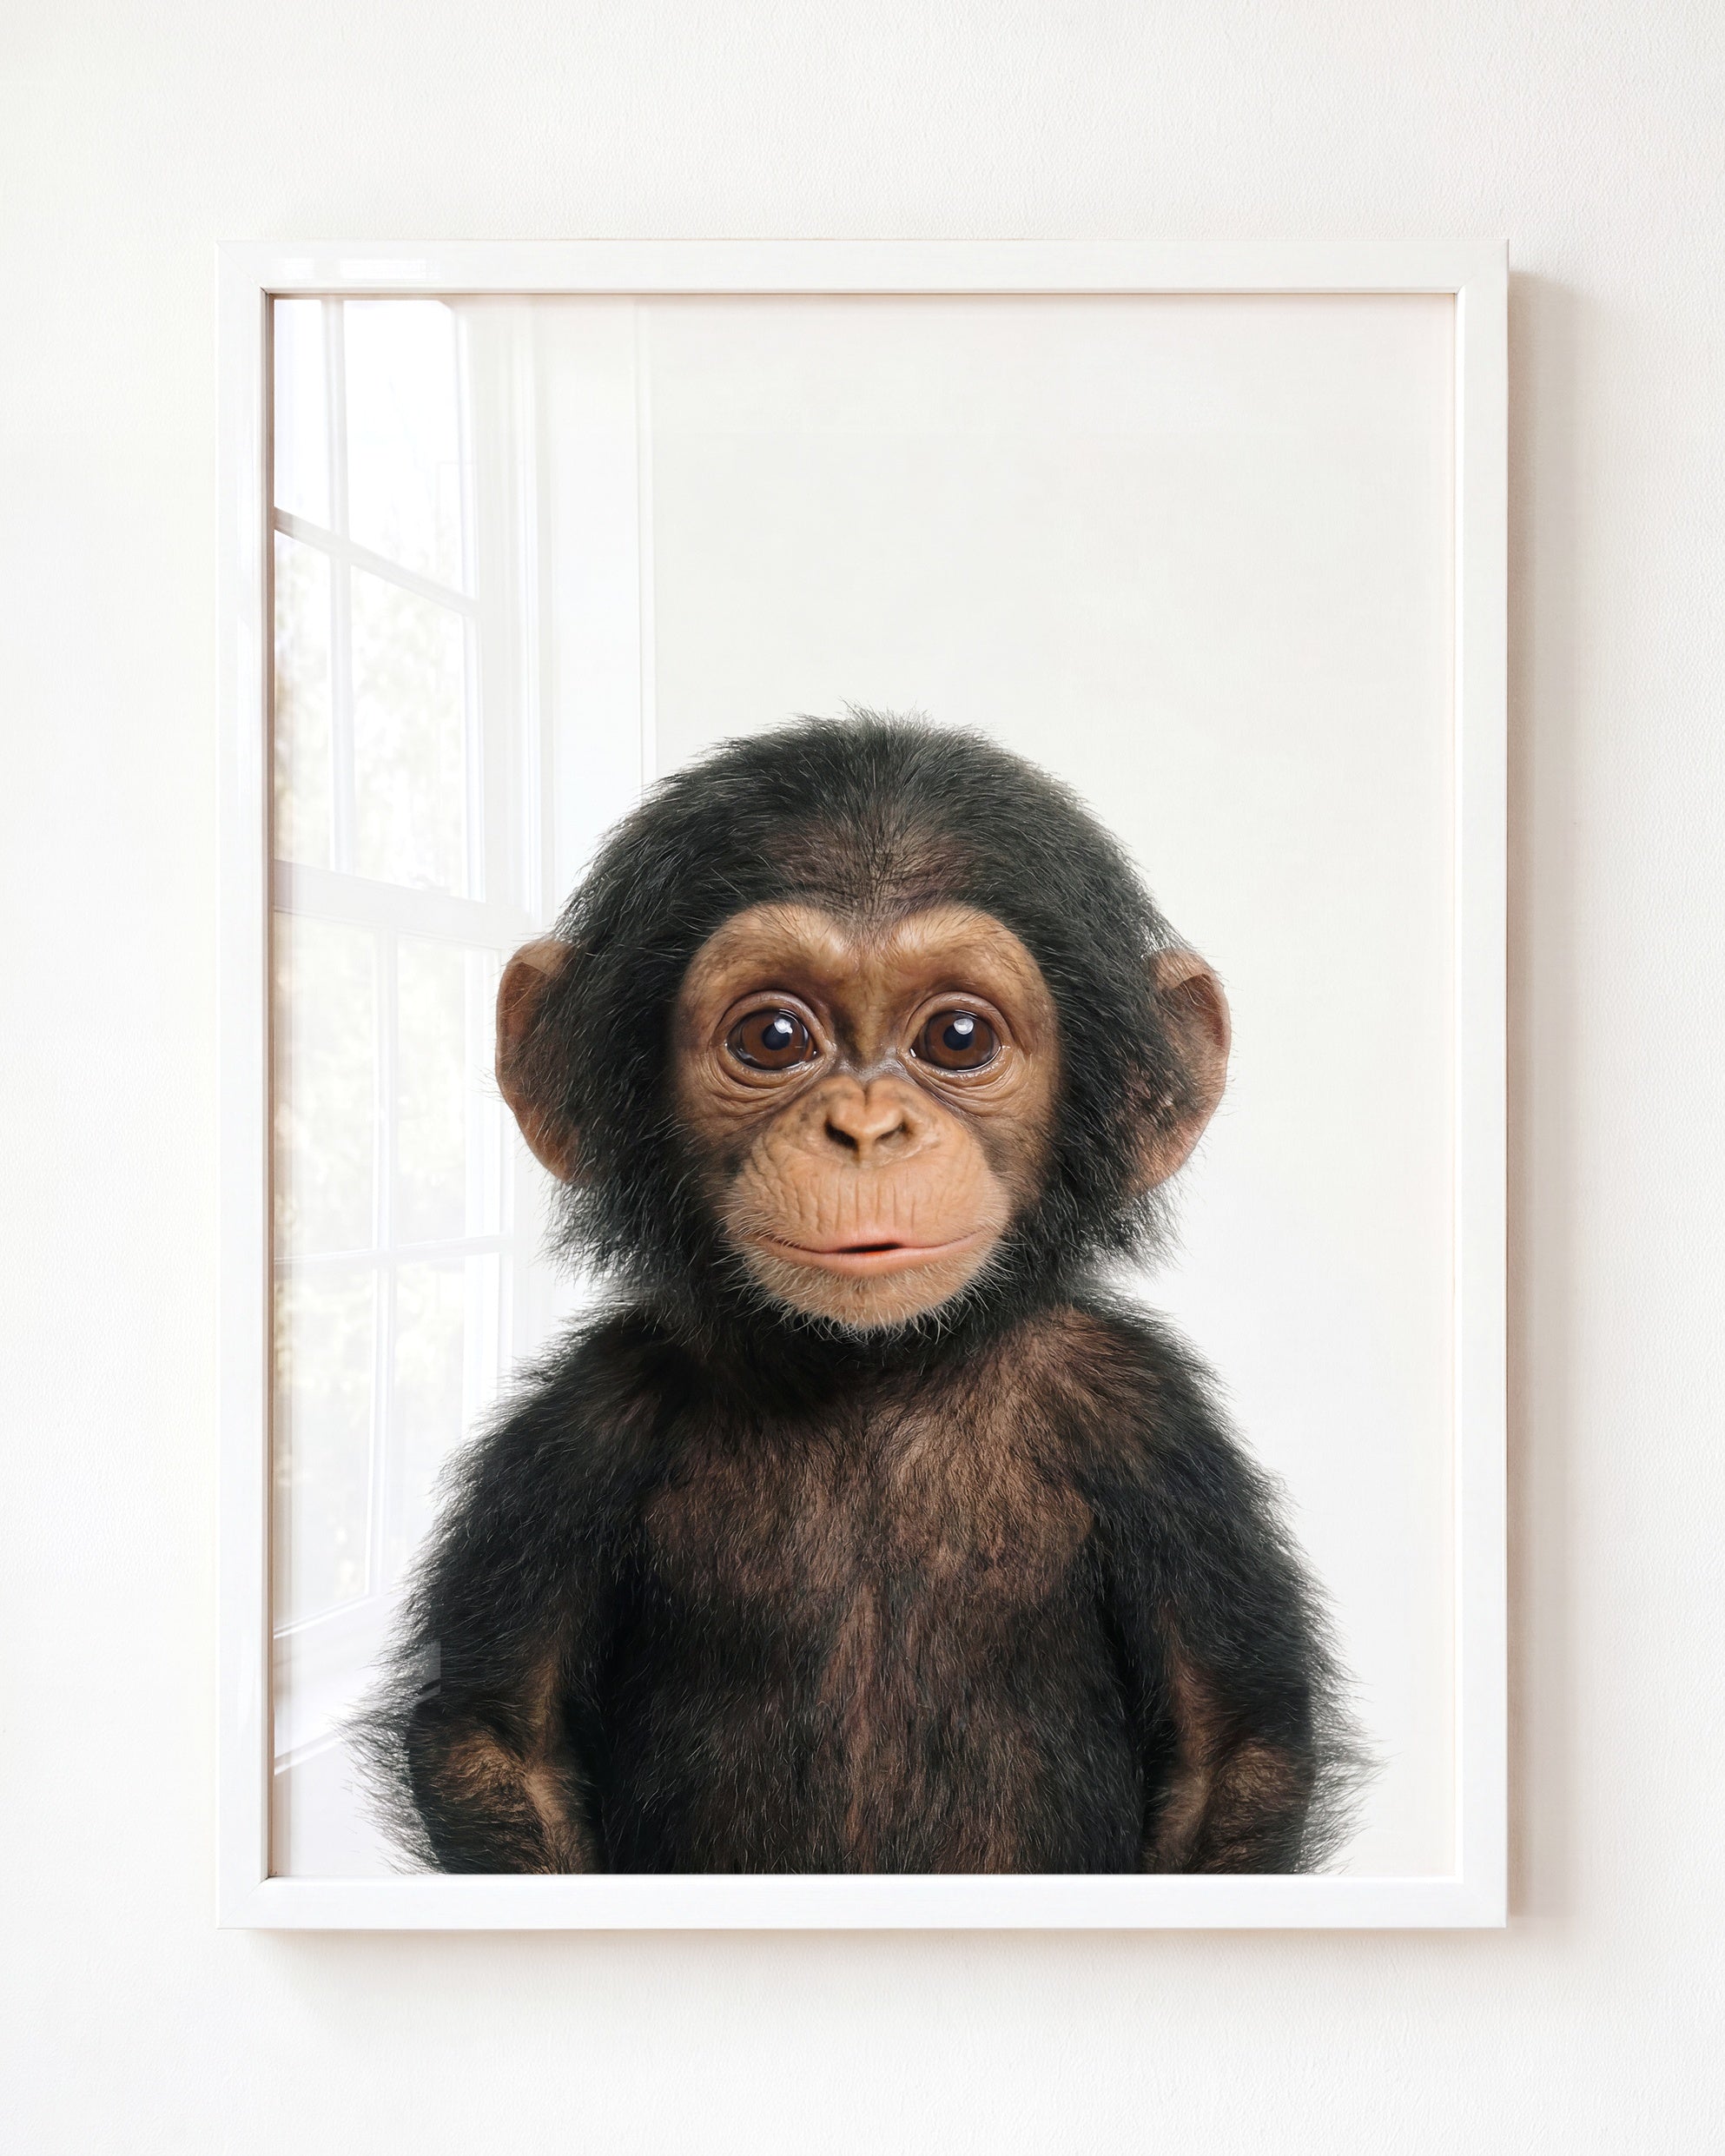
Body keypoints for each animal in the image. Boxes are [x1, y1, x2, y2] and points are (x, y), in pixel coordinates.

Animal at [358, 713, 1366, 1874]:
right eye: (773, 1037)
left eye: (958, 1038)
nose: (867, 1128)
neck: (873, 1371)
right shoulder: (581, 1426)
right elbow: (497, 1736)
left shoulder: (1150, 1422)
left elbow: (1228, 1747)